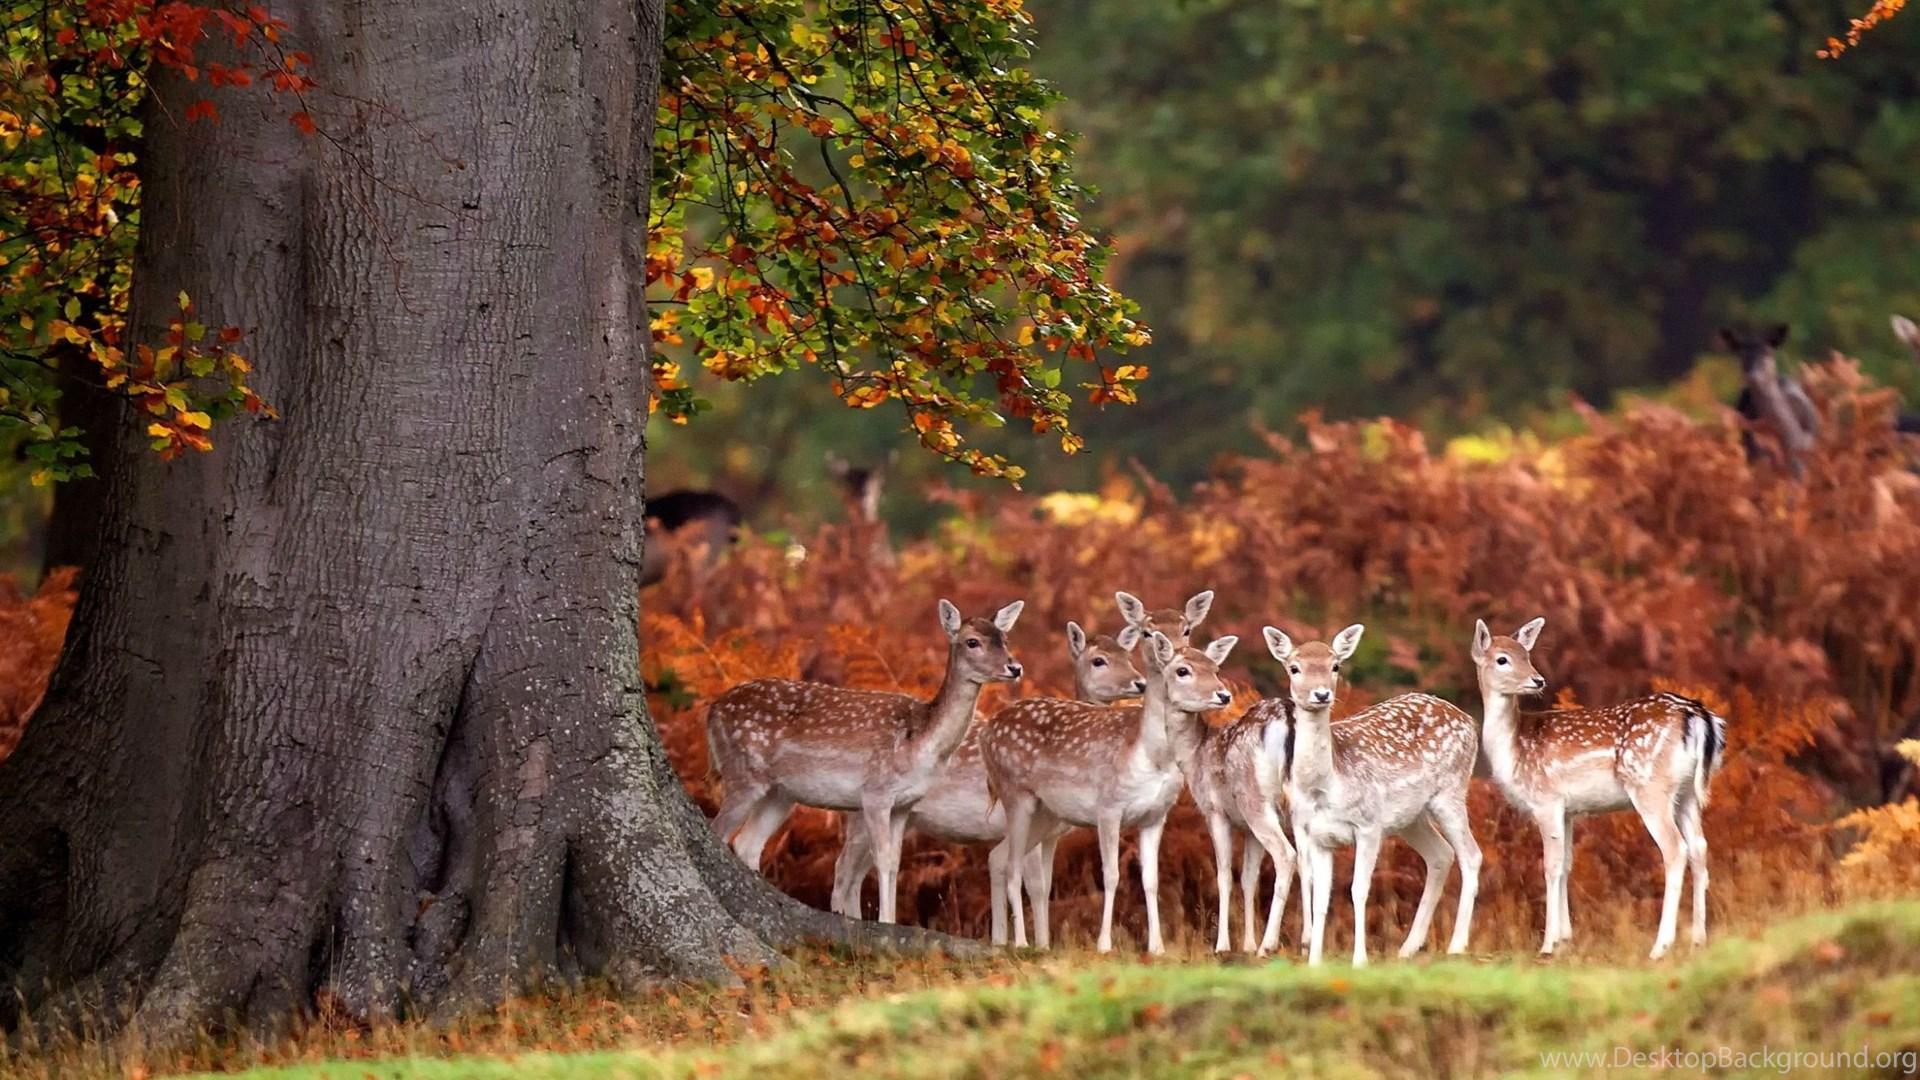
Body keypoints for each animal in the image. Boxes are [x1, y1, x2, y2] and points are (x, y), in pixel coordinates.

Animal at [706, 598, 1025, 924]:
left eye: (1005, 639)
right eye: (972, 642)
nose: (1014, 667)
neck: (921, 743)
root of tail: (713, 710)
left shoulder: (904, 804)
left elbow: (895, 861)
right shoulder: (875, 792)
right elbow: (882, 858)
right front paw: (886, 921)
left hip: (781, 794)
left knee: (747, 843)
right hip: (742, 772)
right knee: (719, 830)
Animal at [828, 620, 1147, 944]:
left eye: (1128, 656)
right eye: (1099, 661)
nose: (1140, 683)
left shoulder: (1051, 834)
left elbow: (1042, 884)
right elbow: (1034, 884)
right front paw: (1033, 944)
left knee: (856, 873)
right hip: (863, 811)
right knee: (843, 870)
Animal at [983, 629, 1238, 954]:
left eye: (1215, 669)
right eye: (1183, 670)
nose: (1223, 694)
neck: (1151, 757)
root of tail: (986, 732)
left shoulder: (1155, 816)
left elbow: (1151, 879)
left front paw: (1156, 947)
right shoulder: (1108, 807)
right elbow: (1112, 875)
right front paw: (1104, 944)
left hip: (1046, 813)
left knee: (999, 856)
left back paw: (1009, 941)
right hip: (1016, 793)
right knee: (1013, 865)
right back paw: (1020, 942)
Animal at [1264, 623, 1482, 967]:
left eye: (1335, 665)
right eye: (1294, 667)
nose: (1321, 694)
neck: (1326, 787)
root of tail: (1470, 721)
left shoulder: (1367, 825)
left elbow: (1358, 889)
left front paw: (1359, 960)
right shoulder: (1317, 836)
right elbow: (1321, 896)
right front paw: (1314, 961)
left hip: (1450, 791)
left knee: (1471, 854)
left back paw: (1456, 946)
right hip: (1411, 817)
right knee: (1441, 854)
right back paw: (1408, 947)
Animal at [1472, 618, 1727, 959]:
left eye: (1526, 654)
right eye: (1503, 658)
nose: (1538, 680)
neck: (1513, 750)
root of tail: (1699, 717)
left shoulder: (1546, 799)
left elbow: (1550, 866)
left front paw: (1548, 945)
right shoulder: (1568, 811)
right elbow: (1567, 866)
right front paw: (1566, 939)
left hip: (1649, 785)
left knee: (1676, 849)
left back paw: (1660, 946)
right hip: (1685, 792)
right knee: (1699, 846)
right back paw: (1698, 939)